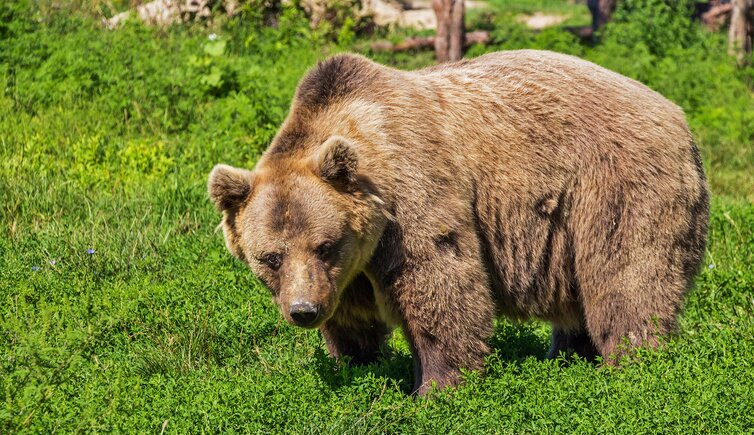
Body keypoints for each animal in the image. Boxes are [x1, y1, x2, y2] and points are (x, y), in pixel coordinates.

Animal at [206, 50, 704, 396]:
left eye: (325, 245)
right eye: (270, 257)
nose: (303, 310)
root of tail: (677, 114)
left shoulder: (413, 195)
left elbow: (440, 283)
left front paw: (436, 387)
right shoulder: (349, 271)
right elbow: (352, 318)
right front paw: (358, 364)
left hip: (615, 185)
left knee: (626, 276)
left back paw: (632, 363)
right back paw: (567, 356)